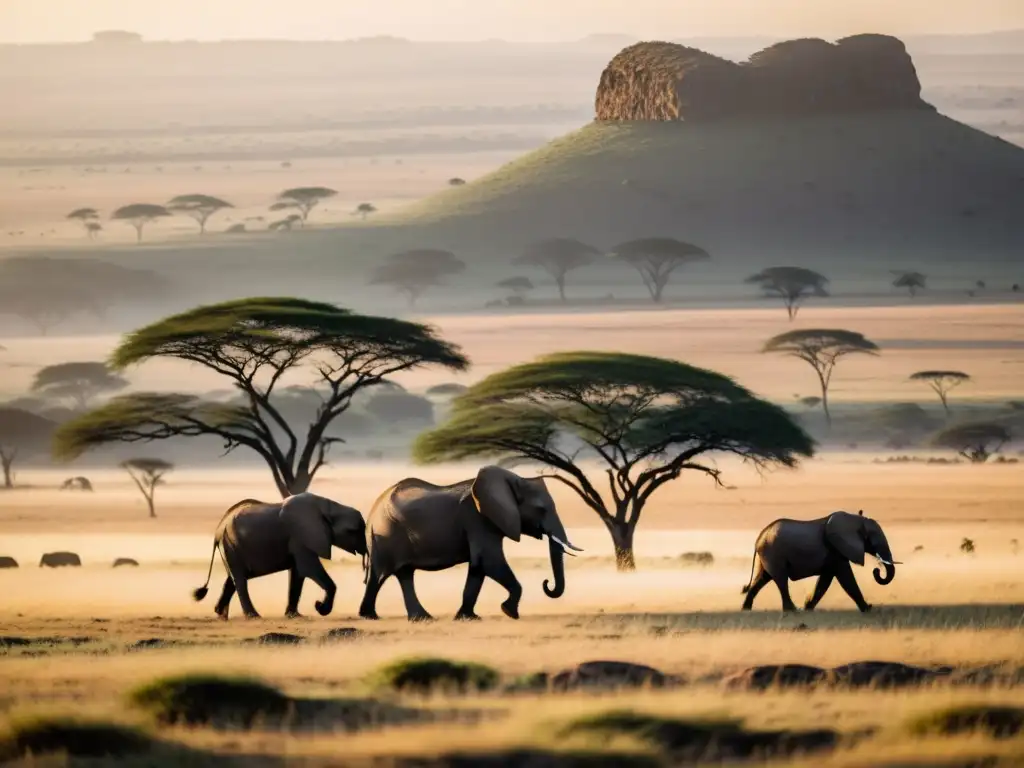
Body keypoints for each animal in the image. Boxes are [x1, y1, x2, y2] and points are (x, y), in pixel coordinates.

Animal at [192, 495, 368, 622]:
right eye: (354, 531)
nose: (317, 604)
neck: (329, 507)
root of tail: (218, 529)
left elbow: (298, 573)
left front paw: (295, 616)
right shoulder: (301, 537)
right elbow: (308, 568)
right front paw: (320, 608)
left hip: (231, 547)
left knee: (232, 579)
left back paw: (220, 614)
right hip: (231, 544)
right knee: (240, 580)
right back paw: (253, 616)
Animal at [360, 466, 585, 622]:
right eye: (541, 509)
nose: (546, 583)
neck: (512, 481)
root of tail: (372, 512)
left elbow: (478, 567)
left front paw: (468, 617)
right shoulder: (478, 520)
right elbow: (490, 562)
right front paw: (509, 612)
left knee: (403, 574)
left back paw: (418, 618)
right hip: (387, 534)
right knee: (381, 575)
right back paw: (373, 617)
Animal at [741, 512, 901, 614]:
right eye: (871, 539)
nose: (877, 570)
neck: (855, 519)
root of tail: (759, 538)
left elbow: (825, 580)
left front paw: (808, 607)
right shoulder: (836, 550)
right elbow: (845, 577)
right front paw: (868, 609)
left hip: (768, 555)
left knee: (762, 578)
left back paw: (745, 609)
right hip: (774, 554)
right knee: (781, 580)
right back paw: (792, 610)